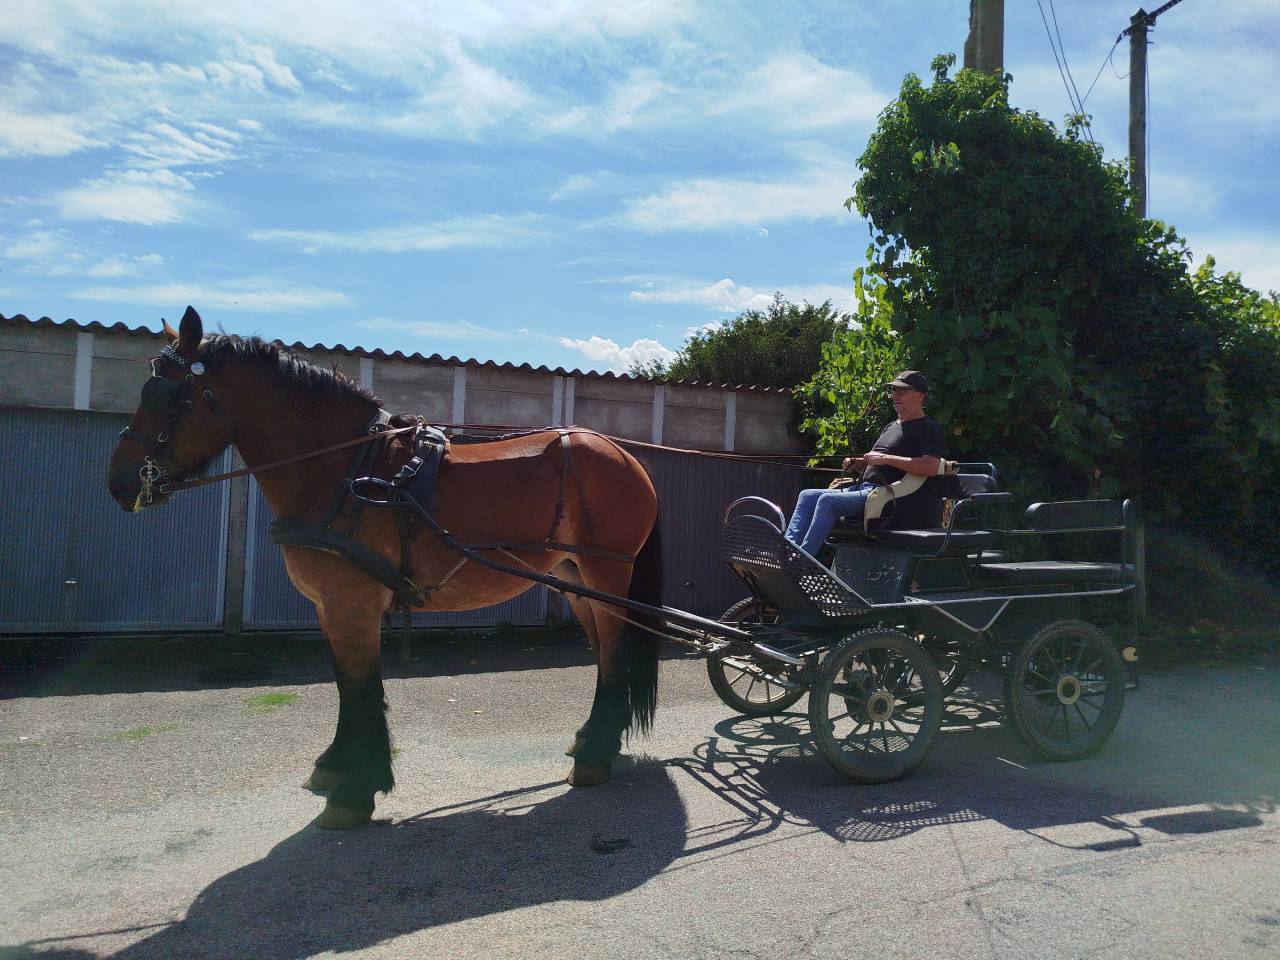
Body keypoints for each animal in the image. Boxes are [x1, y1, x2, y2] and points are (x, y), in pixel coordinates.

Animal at [107, 307, 663, 830]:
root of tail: (622, 454)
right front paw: (335, 767)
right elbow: (344, 684)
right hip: (573, 577)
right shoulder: (331, 607)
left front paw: (355, 792)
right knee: (602, 652)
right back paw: (592, 740)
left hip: (605, 572)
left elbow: (361, 687)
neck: (341, 470)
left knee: (614, 651)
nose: (118, 483)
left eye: (161, 393)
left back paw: (595, 758)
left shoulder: (350, 604)